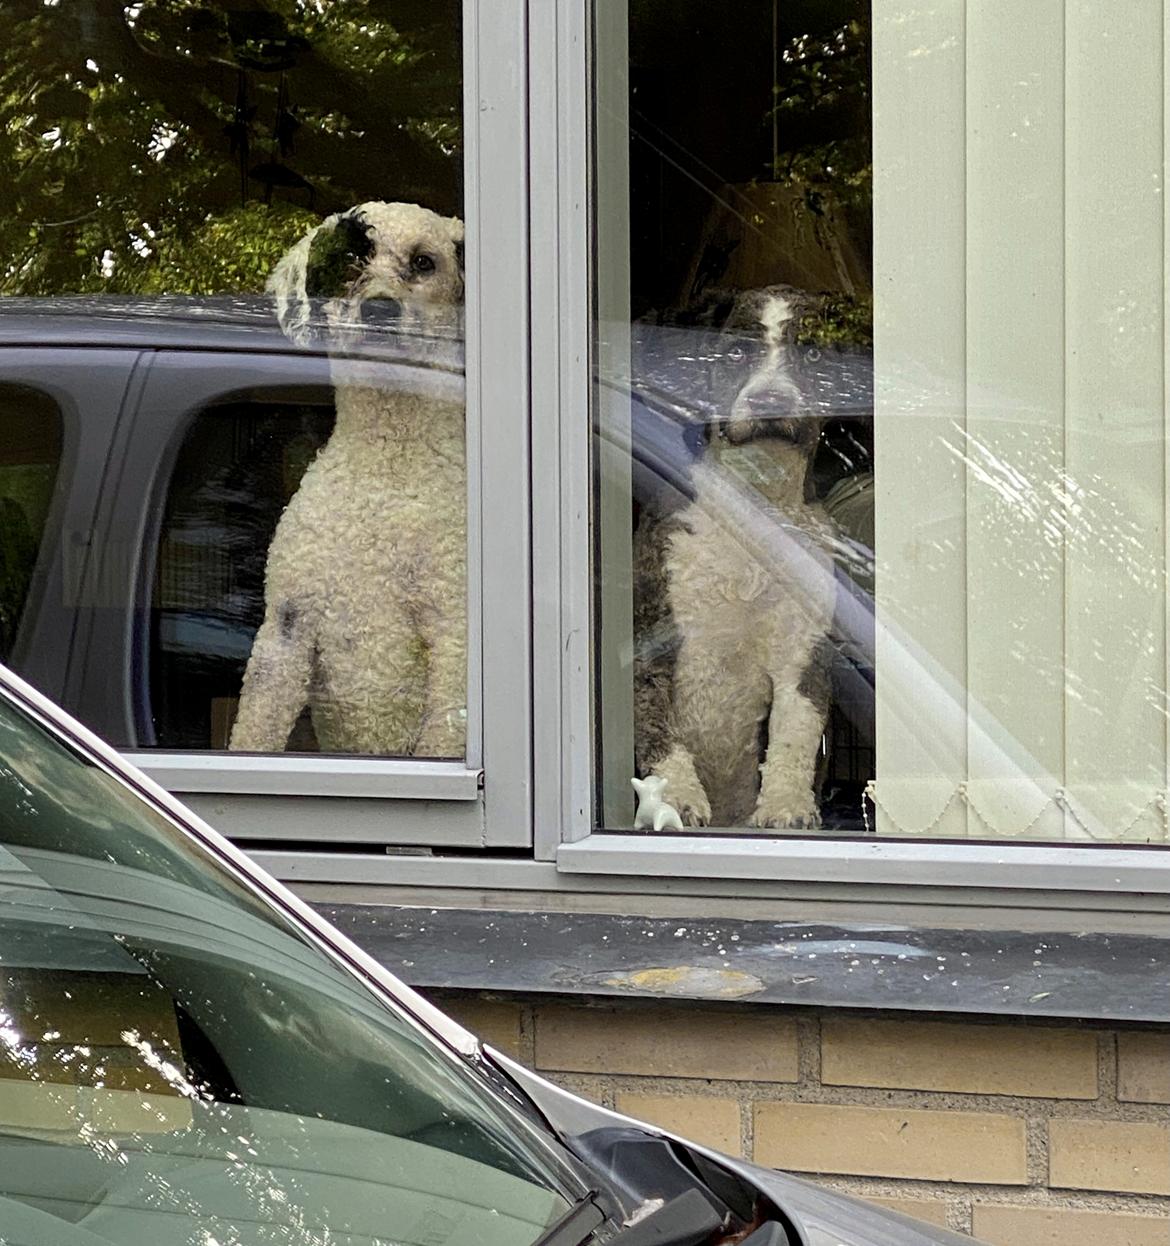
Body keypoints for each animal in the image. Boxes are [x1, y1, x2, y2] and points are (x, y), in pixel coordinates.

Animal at [229, 201, 466, 757]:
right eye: (347, 260)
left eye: (424, 262)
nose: (379, 309)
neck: (385, 473)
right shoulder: (286, 630)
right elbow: (253, 731)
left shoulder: (454, 637)